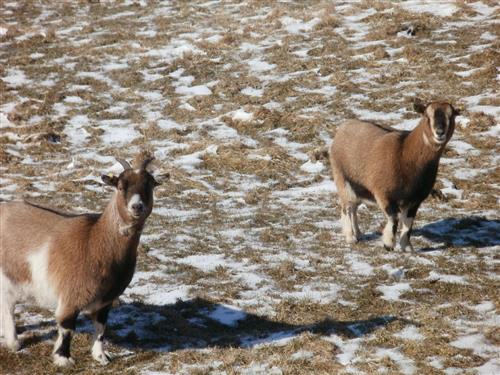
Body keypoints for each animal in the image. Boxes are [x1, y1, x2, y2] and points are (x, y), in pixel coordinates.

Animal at [0, 156, 159, 368]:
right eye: (120, 185)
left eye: (150, 185)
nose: (137, 207)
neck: (94, 240)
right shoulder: (71, 295)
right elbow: (67, 327)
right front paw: (63, 358)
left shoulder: (105, 300)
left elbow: (101, 327)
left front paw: (101, 356)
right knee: (8, 304)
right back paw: (14, 342)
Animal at [330, 101, 458, 251]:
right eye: (427, 115)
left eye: (451, 116)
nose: (440, 132)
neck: (404, 153)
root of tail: (343, 128)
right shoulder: (384, 195)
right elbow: (394, 219)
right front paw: (388, 244)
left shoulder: (415, 201)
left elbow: (408, 224)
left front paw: (407, 247)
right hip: (342, 178)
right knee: (347, 207)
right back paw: (350, 237)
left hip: (357, 186)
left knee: (354, 207)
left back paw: (358, 233)